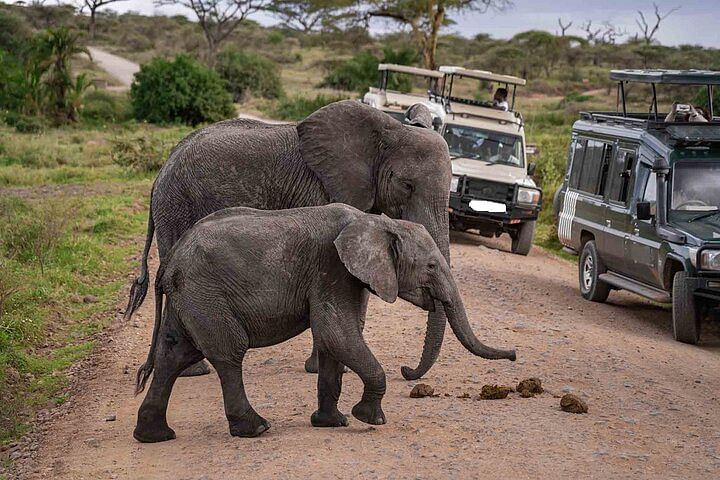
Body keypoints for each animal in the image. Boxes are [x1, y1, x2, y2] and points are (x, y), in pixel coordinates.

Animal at [126, 100, 470, 378]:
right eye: (407, 185)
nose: (406, 371)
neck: (389, 130)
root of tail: (161, 171)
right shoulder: (322, 191)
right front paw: (326, 368)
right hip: (177, 206)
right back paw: (194, 371)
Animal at [134, 203, 516, 442]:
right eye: (432, 267)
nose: (513, 355)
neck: (375, 222)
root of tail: (170, 259)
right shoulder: (332, 269)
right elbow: (338, 332)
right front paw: (369, 418)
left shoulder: (345, 276)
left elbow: (336, 341)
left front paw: (333, 423)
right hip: (206, 293)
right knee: (228, 352)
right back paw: (256, 428)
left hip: (190, 296)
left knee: (174, 354)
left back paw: (154, 436)